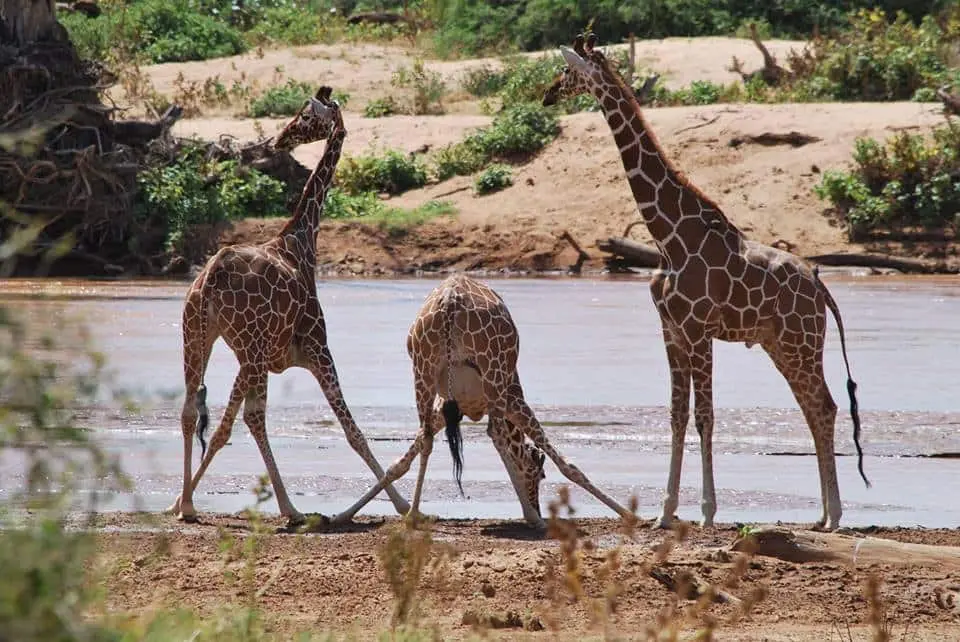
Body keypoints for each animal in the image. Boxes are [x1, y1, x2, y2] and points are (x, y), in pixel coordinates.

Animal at [165, 86, 410, 525]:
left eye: (305, 117)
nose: (280, 139)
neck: (302, 241)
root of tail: (209, 280)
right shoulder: (317, 346)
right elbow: (352, 430)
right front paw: (401, 504)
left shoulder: (273, 355)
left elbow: (228, 422)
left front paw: (179, 500)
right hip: (250, 347)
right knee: (247, 418)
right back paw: (284, 507)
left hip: (198, 335)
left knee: (192, 409)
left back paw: (189, 502)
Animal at [330, 273, 630, 529]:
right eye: (539, 474)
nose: (536, 504)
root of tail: (451, 301)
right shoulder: (512, 398)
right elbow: (567, 465)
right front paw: (628, 514)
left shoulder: (444, 410)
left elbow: (401, 463)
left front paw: (344, 514)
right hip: (493, 373)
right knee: (494, 433)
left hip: (422, 371)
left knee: (427, 437)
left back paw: (414, 515)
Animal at [542, 33, 869, 531]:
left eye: (566, 71)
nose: (546, 95)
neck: (668, 235)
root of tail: (822, 289)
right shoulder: (672, 331)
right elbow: (677, 416)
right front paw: (663, 513)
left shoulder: (699, 331)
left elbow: (705, 418)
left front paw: (708, 512)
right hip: (781, 345)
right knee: (818, 407)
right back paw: (821, 514)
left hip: (800, 343)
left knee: (823, 406)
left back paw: (833, 516)